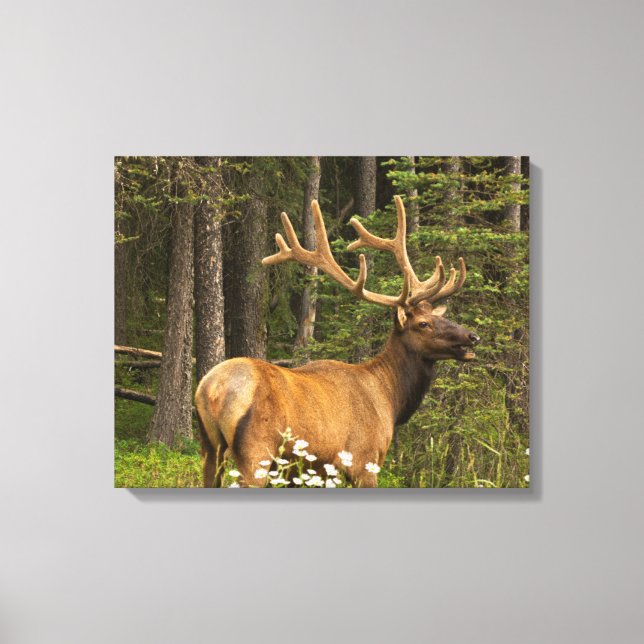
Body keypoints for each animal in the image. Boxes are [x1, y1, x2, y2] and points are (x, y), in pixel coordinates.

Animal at [195, 196, 480, 487]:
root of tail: (211, 390)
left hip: (210, 448)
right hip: (256, 451)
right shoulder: (363, 460)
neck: (389, 399)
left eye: (438, 316)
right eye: (423, 324)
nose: (472, 337)